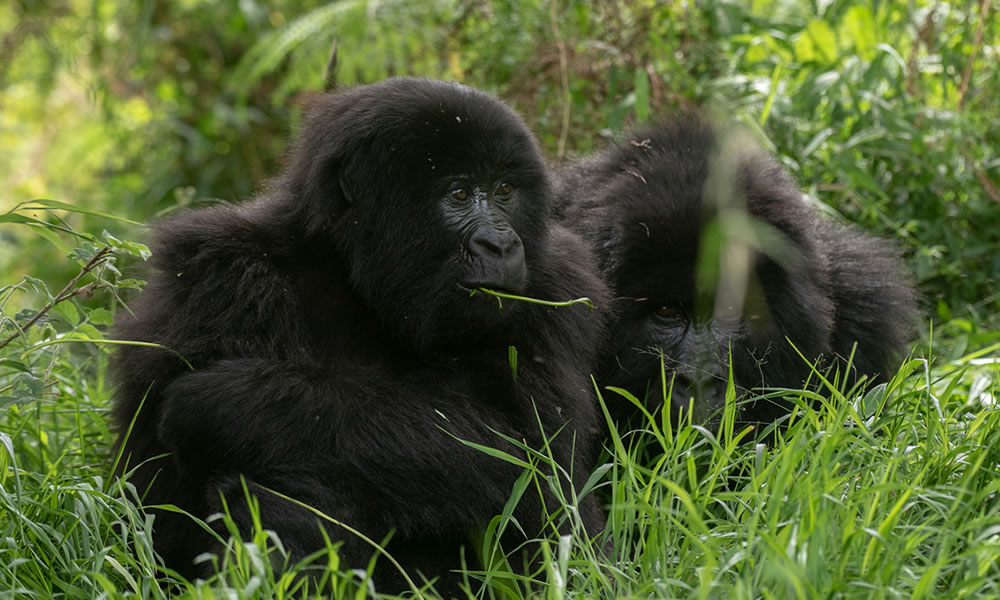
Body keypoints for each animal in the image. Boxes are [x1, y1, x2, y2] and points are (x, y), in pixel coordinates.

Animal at [110, 76, 608, 596]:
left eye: (505, 190)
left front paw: (227, 400)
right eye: (458, 194)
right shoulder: (222, 271)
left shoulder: (560, 282)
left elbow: (538, 456)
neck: (354, 275)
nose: (503, 245)